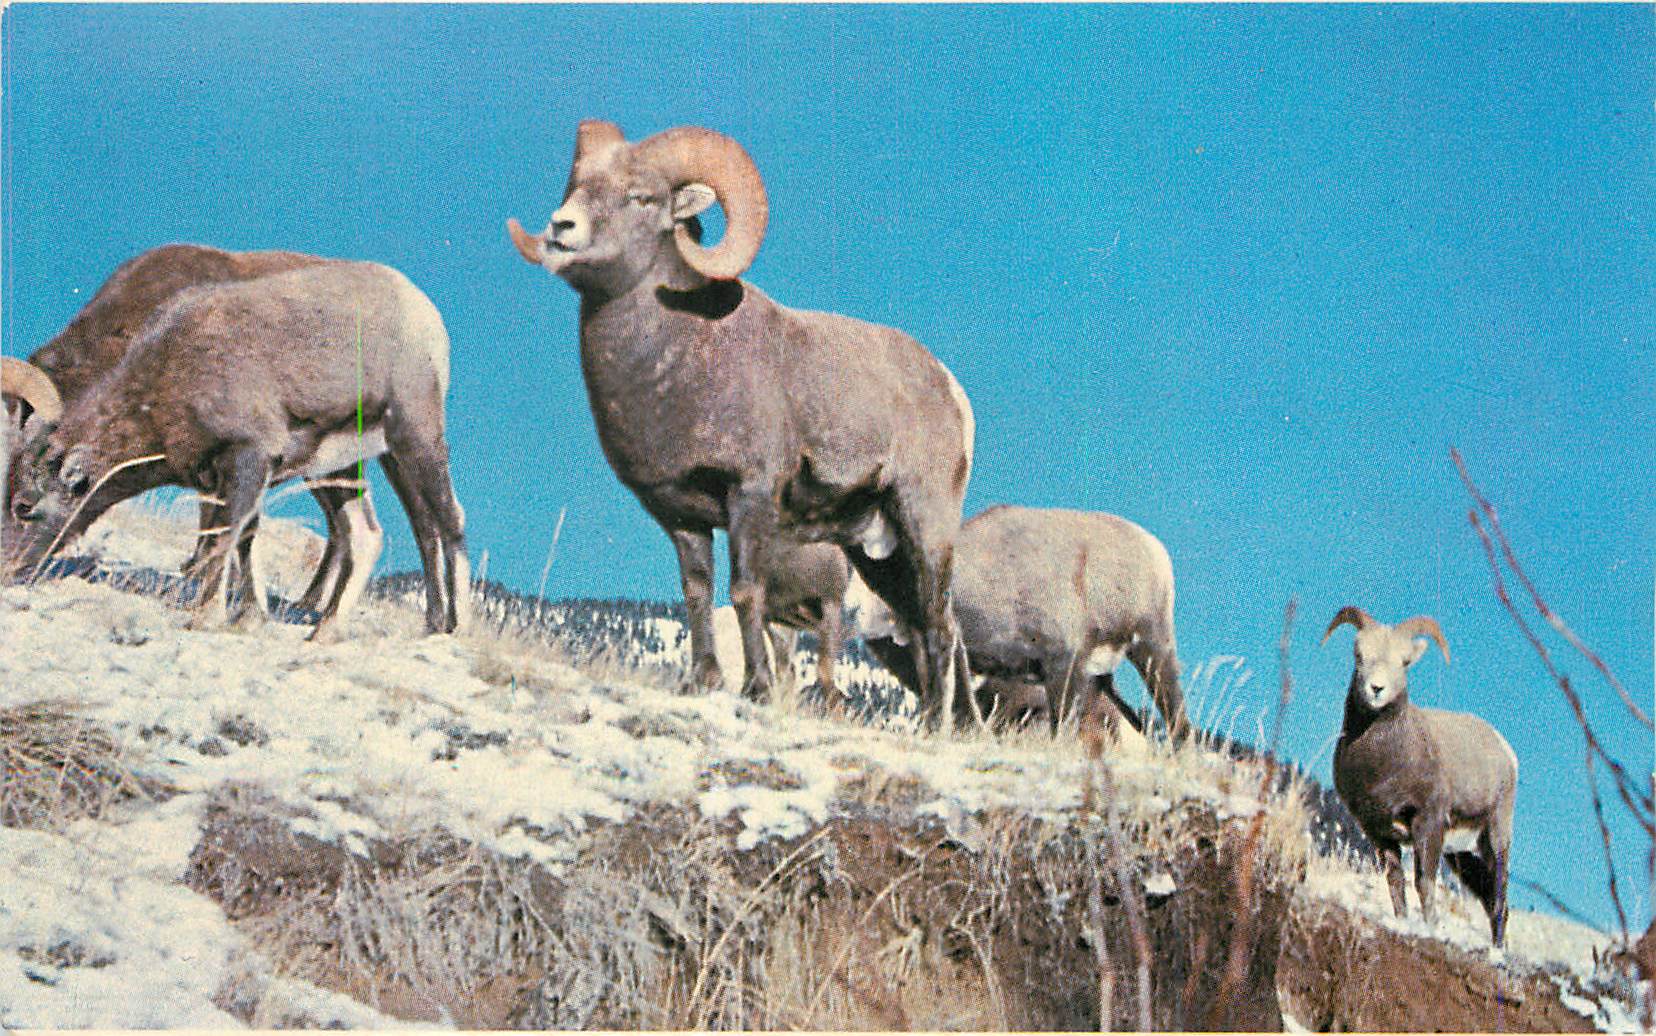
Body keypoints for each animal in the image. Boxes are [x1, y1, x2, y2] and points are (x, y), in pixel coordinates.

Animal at [8, 261, 468, 642]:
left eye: (23, 507)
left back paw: (453, 627)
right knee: (368, 534)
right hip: (337, 470)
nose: (7, 570)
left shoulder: (248, 460)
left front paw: (207, 616)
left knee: (447, 521)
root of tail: (424, 311)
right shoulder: (220, 480)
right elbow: (240, 540)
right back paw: (328, 630)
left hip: (413, 440)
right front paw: (247, 617)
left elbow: (228, 537)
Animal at [507, 120, 974, 729]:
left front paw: (755, 688)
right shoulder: (679, 516)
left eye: (642, 197)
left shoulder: (749, 497)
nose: (562, 228)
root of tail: (950, 389)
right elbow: (697, 593)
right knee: (927, 625)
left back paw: (936, 725)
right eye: (577, 186)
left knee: (940, 625)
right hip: (877, 554)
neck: (678, 361)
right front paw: (701, 681)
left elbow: (745, 592)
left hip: (923, 524)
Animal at [1322, 606, 1517, 945]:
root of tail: (1505, 751)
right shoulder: (1379, 832)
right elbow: (1395, 881)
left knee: (1499, 898)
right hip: (1462, 854)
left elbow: (1424, 882)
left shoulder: (1428, 823)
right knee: (1489, 897)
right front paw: (1403, 923)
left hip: (1496, 836)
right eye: (1359, 655)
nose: (1376, 689)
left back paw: (1497, 950)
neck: (1383, 767)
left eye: (1405, 662)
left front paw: (1430, 929)